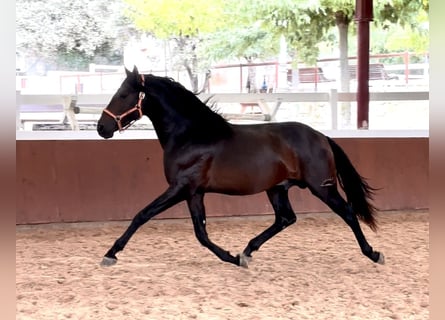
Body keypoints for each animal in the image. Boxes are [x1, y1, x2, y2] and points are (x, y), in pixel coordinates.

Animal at [95, 67, 384, 268]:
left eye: (122, 95)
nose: (101, 128)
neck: (191, 135)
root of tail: (322, 136)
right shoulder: (194, 193)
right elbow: (201, 233)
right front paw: (234, 258)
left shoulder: (180, 188)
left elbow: (142, 215)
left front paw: (110, 254)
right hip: (277, 188)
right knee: (285, 218)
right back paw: (248, 251)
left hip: (322, 187)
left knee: (348, 213)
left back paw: (373, 253)